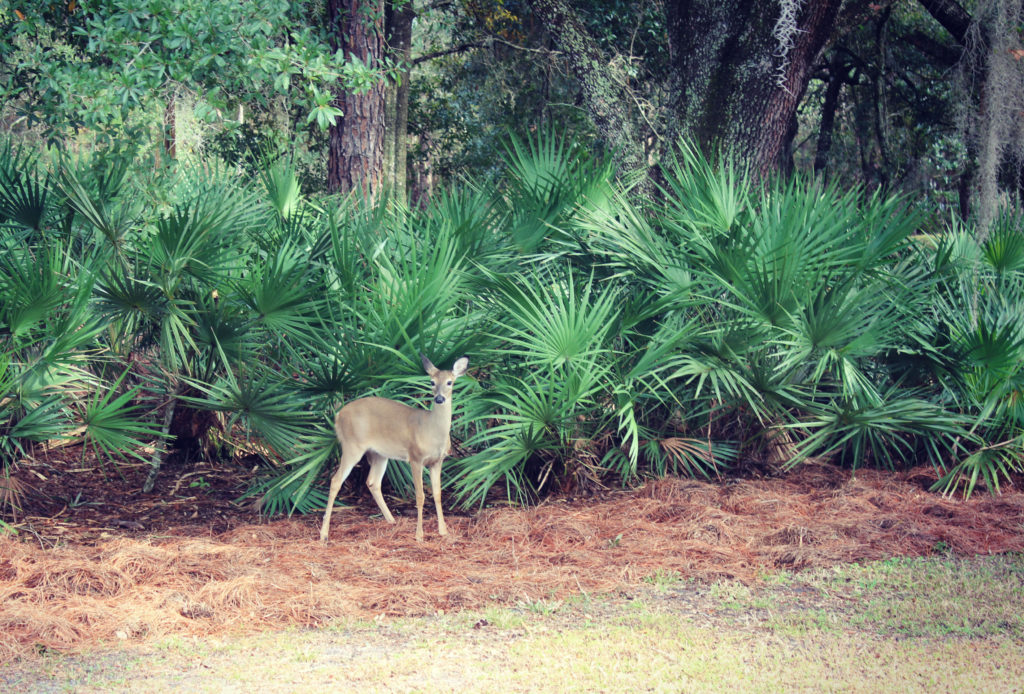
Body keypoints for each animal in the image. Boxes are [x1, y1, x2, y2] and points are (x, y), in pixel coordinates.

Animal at [317, 356, 468, 544]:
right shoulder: (415, 457)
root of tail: (338, 416)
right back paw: (324, 534)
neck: (431, 430)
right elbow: (420, 496)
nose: (439, 399)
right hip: (352, 444)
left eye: (450, 382)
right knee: (336, 480)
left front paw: (443, 531)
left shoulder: (437, 461)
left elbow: (438, 494)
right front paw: (419, 535)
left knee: (372, 482)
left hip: (379, 453)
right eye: (432, 382)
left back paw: (391, 520)